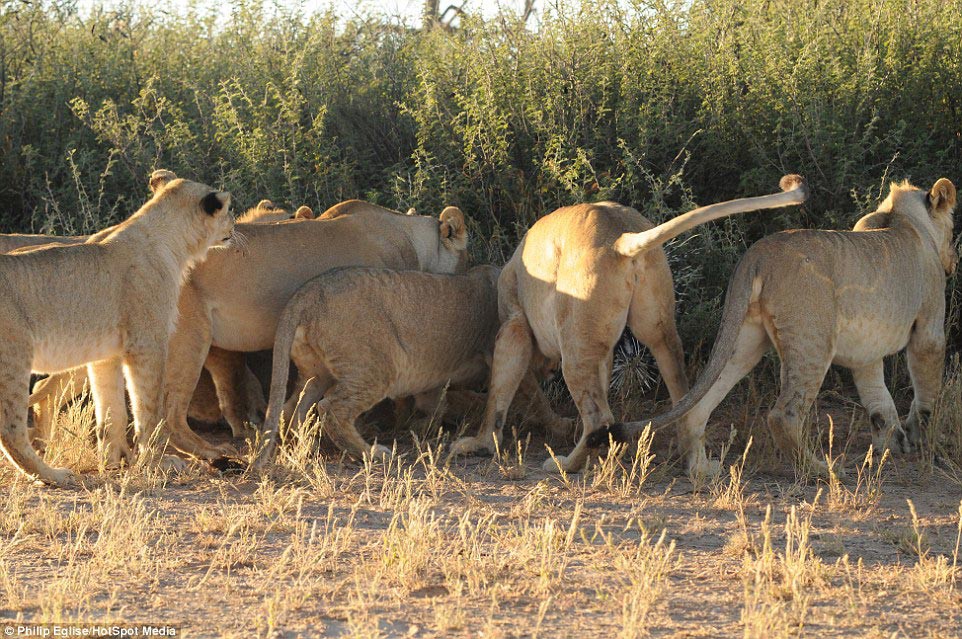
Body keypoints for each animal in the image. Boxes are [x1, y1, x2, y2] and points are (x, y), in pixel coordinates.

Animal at [0, 172, 232, 482]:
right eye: (229, 210)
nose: (235, 226)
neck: (171, 242)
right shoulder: (147, 343)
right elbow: (149, 407)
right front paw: (158, 462)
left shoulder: (105, 354)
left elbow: (111, 411)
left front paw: (114, 461)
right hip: (14, 356)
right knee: (10, 429)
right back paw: (53, 475)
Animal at [446, 175, 808, 476]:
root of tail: (621, 239)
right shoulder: (600, 346)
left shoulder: (514, 324)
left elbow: (500, 390)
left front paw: (479, 445)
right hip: (656, 328)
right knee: (682, 397)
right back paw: (695, 464)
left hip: (573, 343)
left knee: (600, 418)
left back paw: (566, 465)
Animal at [588, 178, 956, 478]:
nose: (954, 259)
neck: (903, 218)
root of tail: (758, 253)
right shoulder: (929, 329)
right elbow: (927, 391)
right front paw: (920, 437)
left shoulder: (866, 354)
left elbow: (879, 401)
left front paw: (892, 443)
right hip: (812, 340)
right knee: (784, 414)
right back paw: (821, 470)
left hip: (746, 341)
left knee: (699, 405)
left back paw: (702, 468)